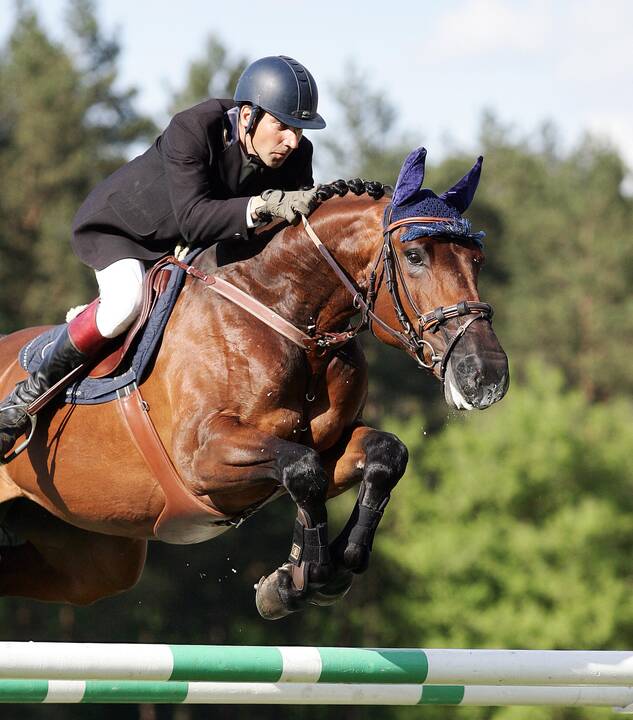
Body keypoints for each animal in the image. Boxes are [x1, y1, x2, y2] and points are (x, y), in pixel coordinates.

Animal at [0, 148, 506, 620]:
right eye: (415, 256)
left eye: (477, 259)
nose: (487, 375)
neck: (287, 320)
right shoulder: (202, 457)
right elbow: (303, 469)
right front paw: (305, 574)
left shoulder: (333, 444)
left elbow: (383, 455)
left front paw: (314, 573)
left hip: (94, 556)